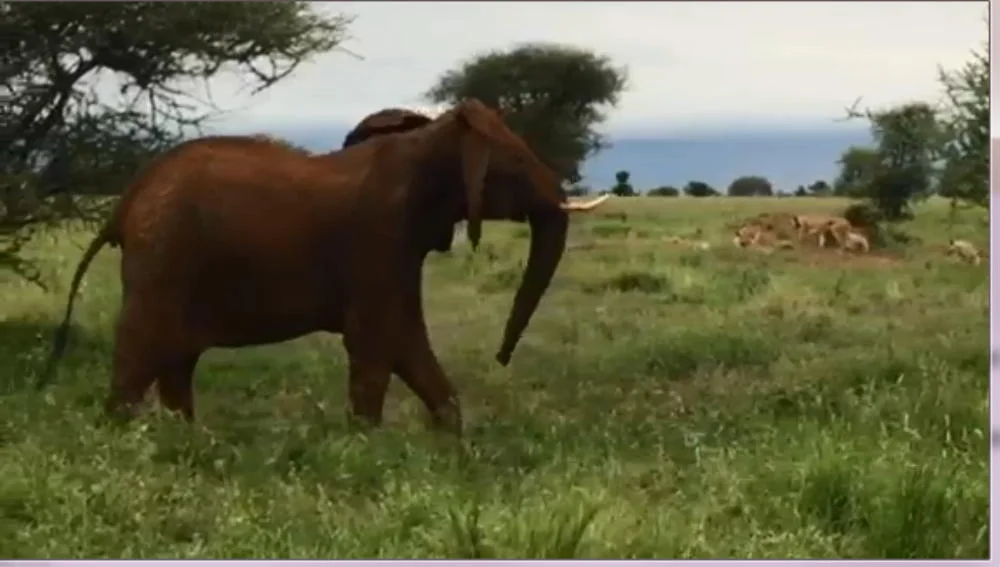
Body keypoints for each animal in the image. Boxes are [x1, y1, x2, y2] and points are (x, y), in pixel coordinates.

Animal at [40, 98, 610, 436]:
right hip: (162, 258)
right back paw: (126, 441)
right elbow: (380, 341)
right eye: (515, 166)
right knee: (140, 354)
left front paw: (454, 444)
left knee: (175, 359)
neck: (427, 141)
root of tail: (124, 204)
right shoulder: (380, 236)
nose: (501, 358)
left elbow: (406, 343)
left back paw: (188, 440)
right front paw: (366, 447)